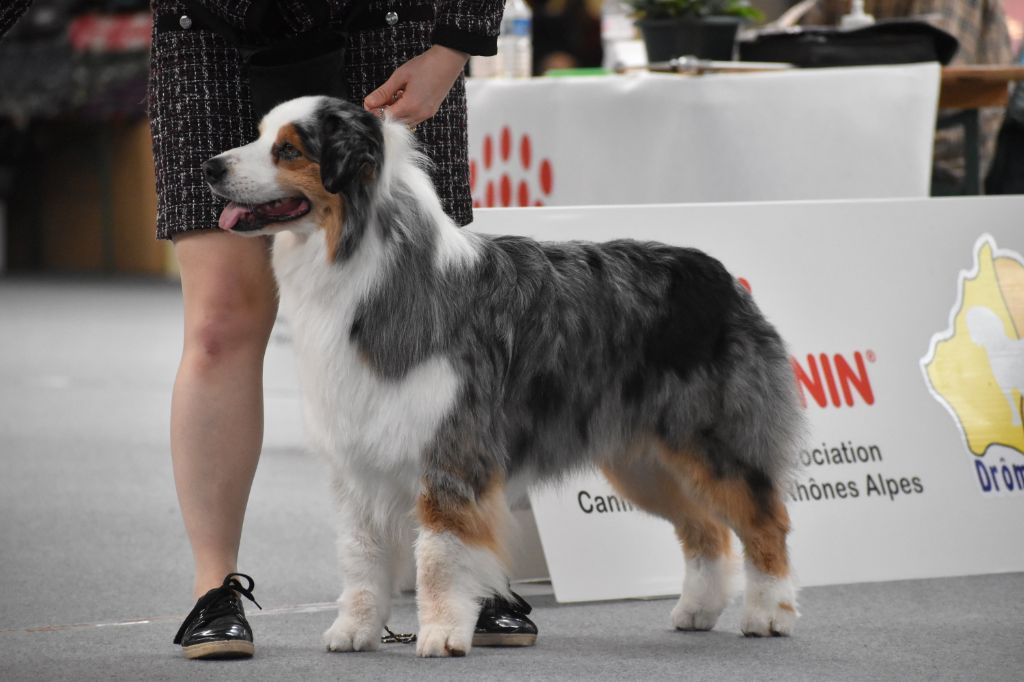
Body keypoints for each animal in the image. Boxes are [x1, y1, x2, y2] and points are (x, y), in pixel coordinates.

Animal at [205, 94, 798, 655]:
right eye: (259, 135)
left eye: (287, 150)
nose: (210, 167)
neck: (360, 264)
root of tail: (720, 275)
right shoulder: (357, 458)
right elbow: (360, 553)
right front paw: (354, 630)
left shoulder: (452, 450)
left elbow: (438, 556)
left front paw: (443, 634)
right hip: (642, 461)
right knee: (706, 530)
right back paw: (698, 610)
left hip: (714, 443)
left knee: (765, 522)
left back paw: (769, 614)